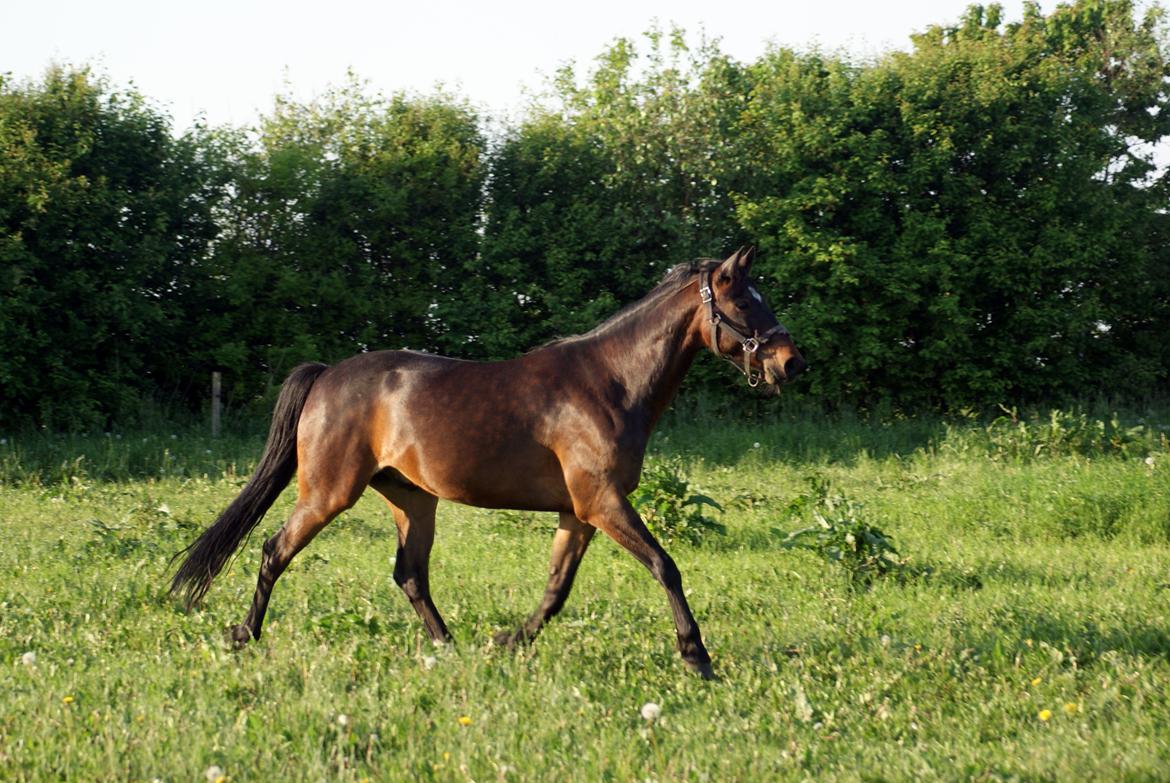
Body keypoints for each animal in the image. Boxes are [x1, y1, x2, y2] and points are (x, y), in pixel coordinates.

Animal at [169, 246, 800, 674]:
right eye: (743, 301)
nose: (792, 362)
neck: (611, 384)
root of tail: (326, 375)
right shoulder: (601, 501)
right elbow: (665, 565)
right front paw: (696, 655)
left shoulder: (579, 511)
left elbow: (556, 588)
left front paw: (508, 641)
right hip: (328, 493)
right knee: (275, 550)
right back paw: (243, 634)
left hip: (413, 499)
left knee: (410, 574)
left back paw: (449, 646)